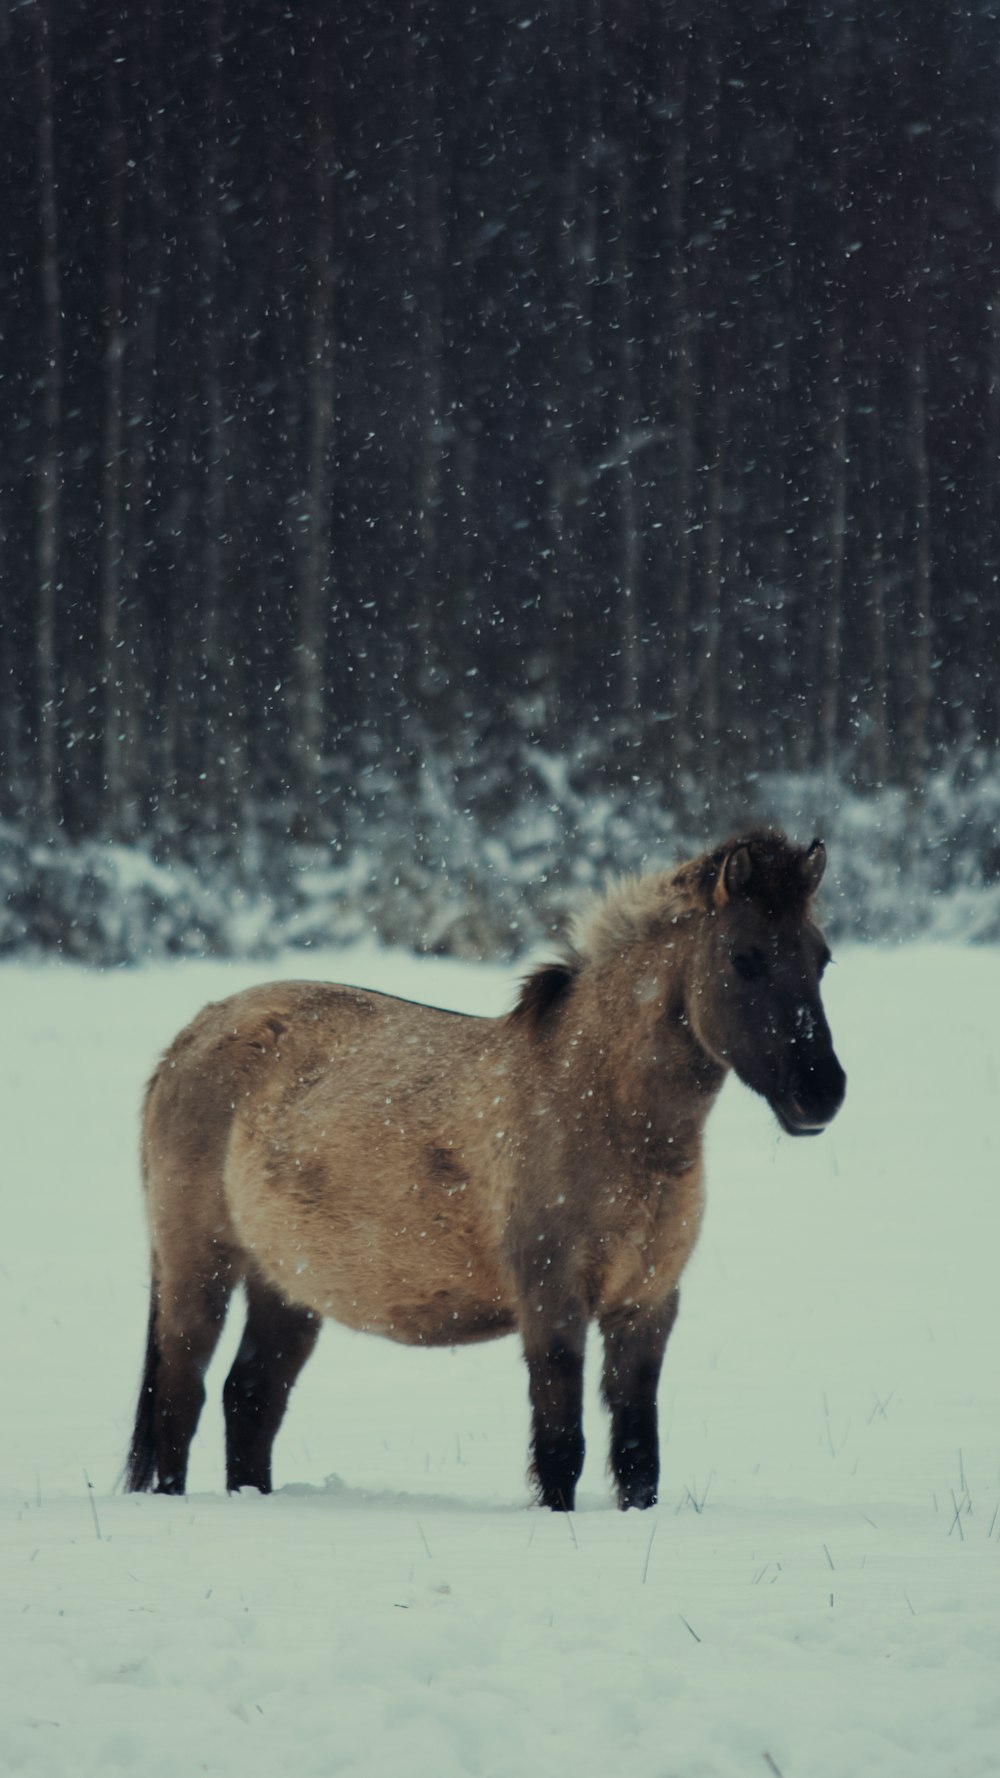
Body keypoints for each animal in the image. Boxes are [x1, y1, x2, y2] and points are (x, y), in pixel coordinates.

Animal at [122, 824, 839, 1507]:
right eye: (744, 958)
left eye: (821, 959)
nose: (822, 1093)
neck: (601, 1110)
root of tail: (187, 1041)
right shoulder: (552, 1303)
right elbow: (561, 1448)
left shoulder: (647, 1305)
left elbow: (640, 1458)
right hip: (199, 1267)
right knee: (181, 1399)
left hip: (287, 1283)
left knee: (251, 1397)